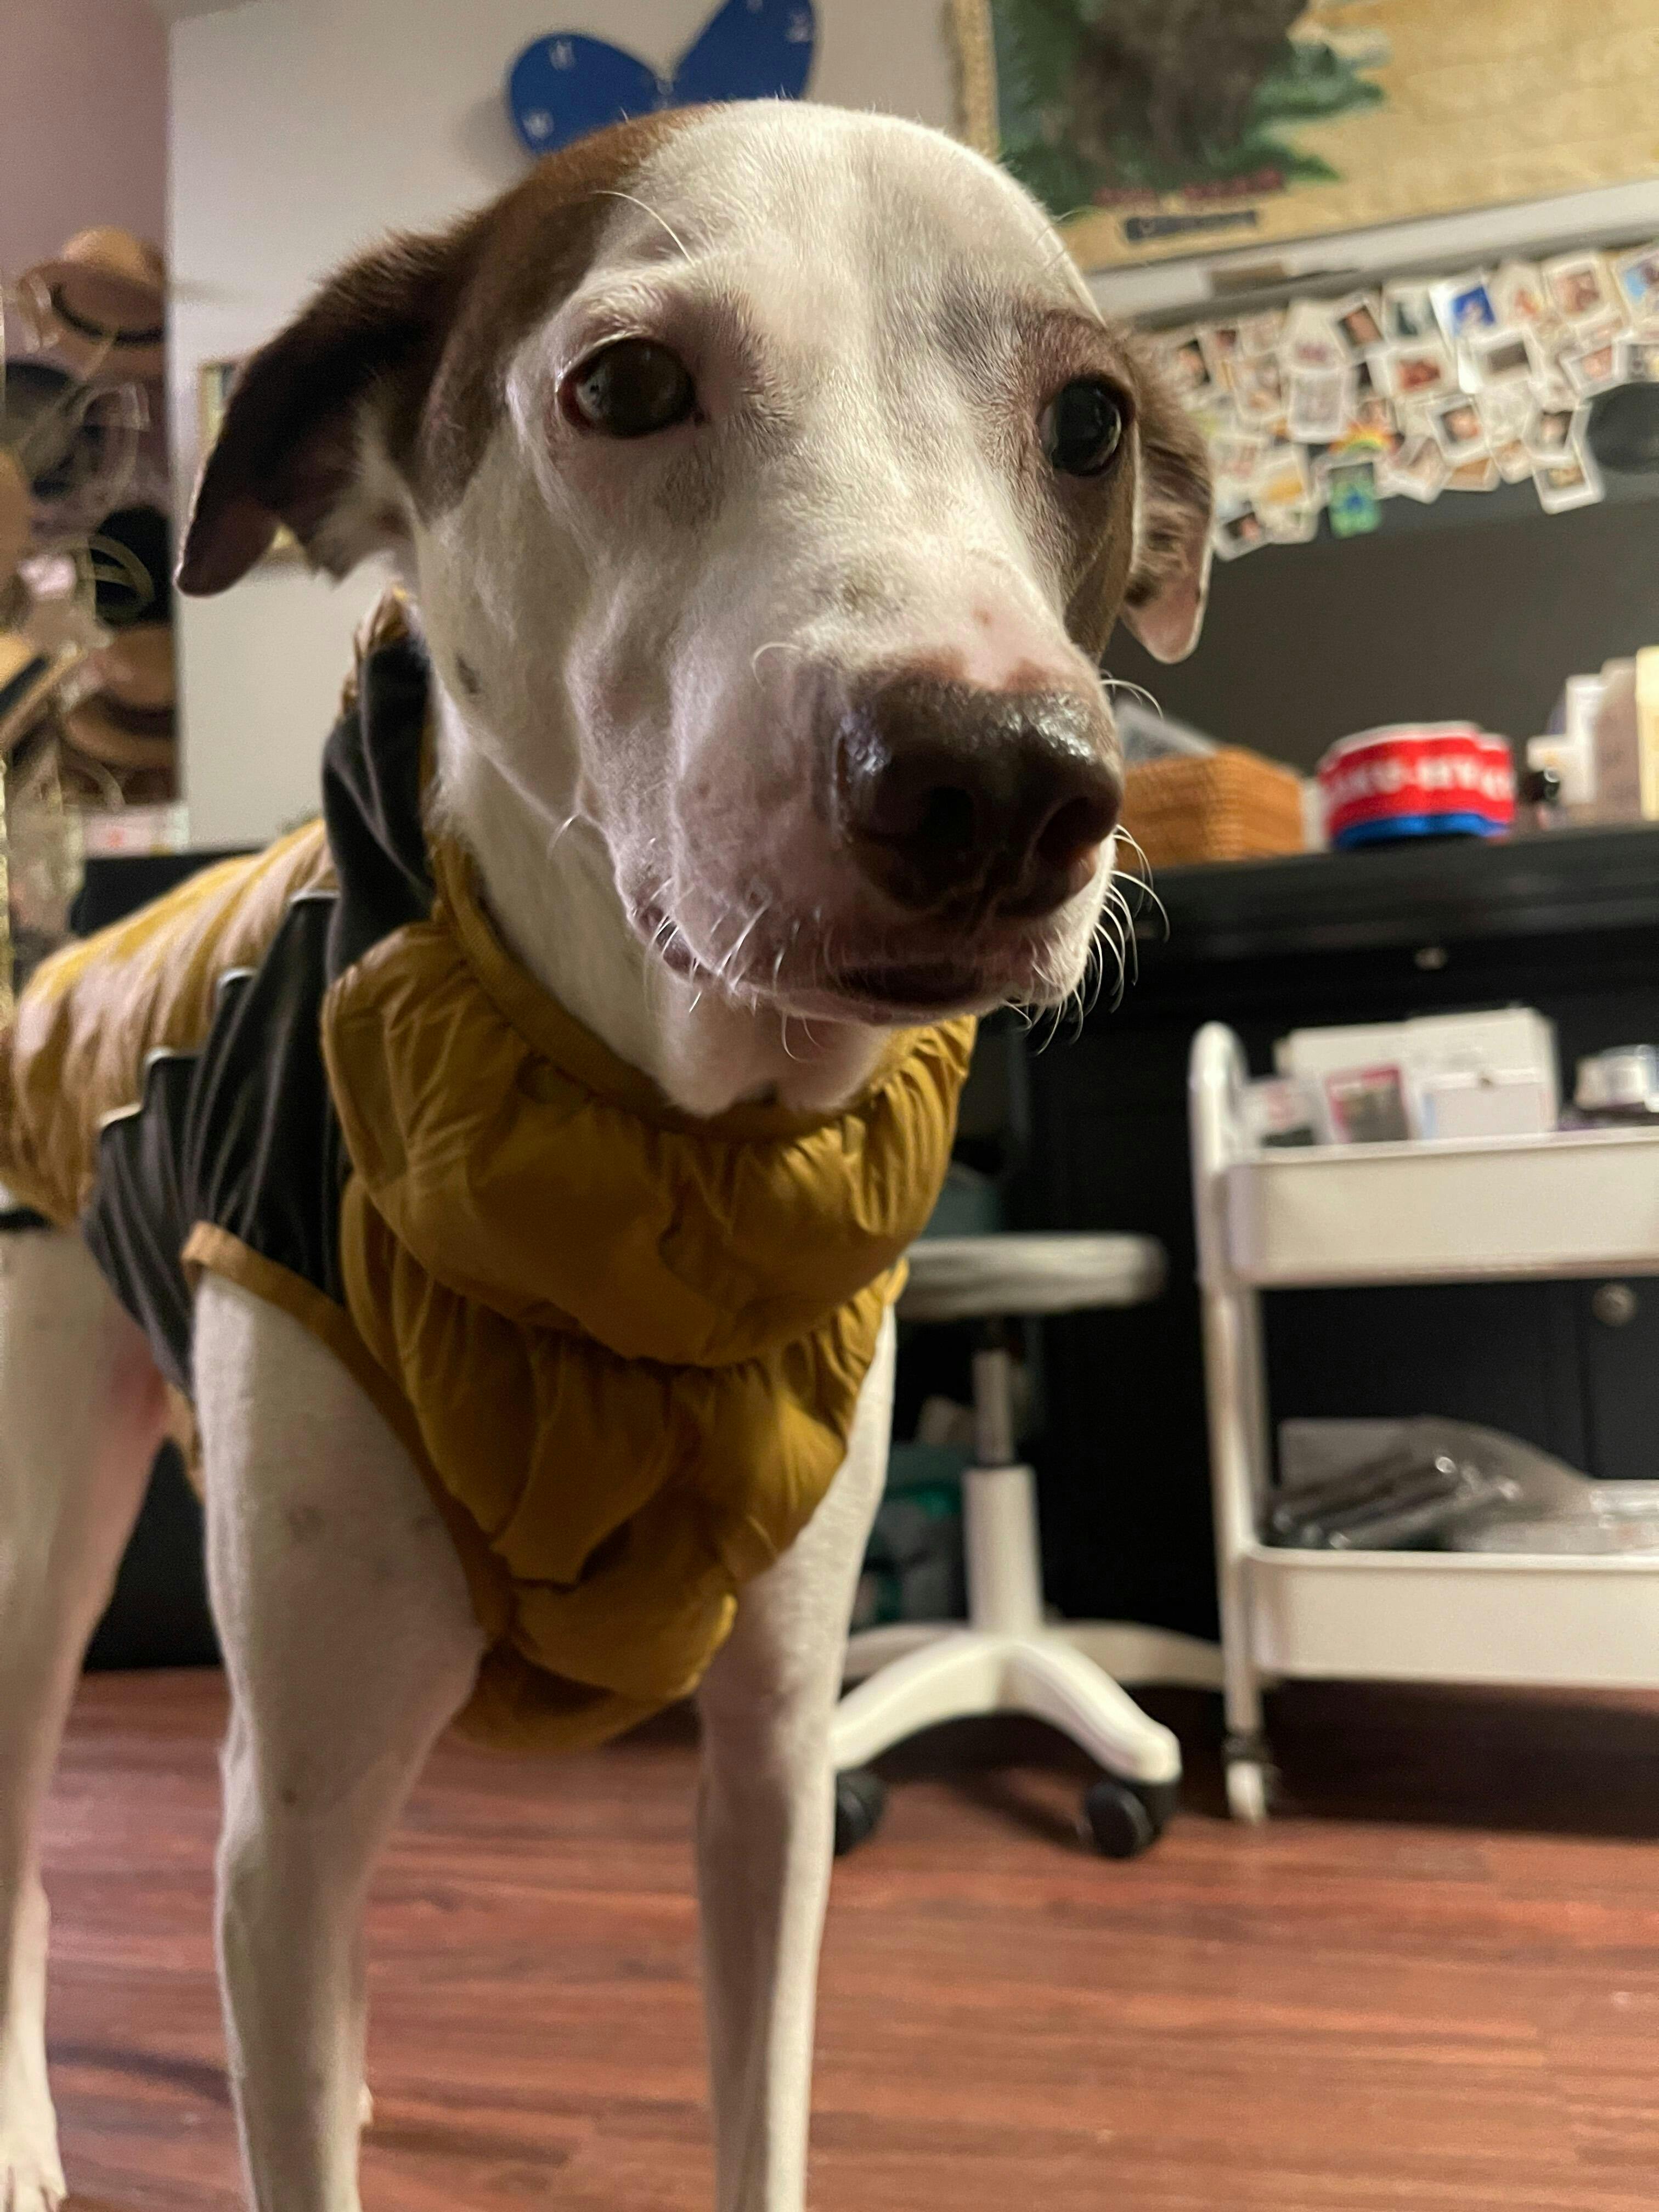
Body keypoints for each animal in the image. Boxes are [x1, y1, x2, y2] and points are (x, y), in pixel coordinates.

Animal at [0, 102, 1209, 2212]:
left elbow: (757, 2100)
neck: (671, 1155)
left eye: (1088, 421)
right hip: (38, 1549)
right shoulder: (283, 1812)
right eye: (627, 384)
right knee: (31, 1865)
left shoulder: (776, 1767)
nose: (1001, 784)